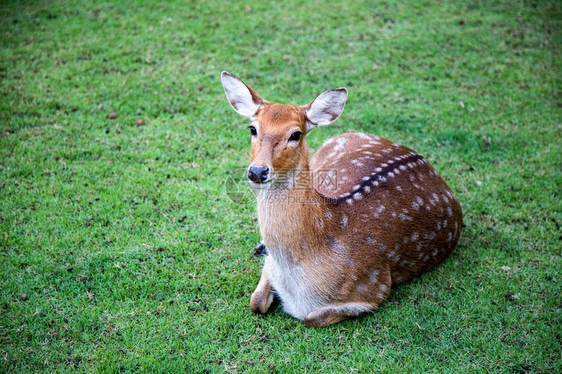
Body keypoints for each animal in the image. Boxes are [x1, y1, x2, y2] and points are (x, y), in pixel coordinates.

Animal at [221, 71, 462, 328]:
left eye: (296, 134)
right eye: (252, 128)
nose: (258, 171)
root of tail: (422, 159)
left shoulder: (374, 288)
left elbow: (311, 318)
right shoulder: (271, 267)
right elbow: (256, 302)